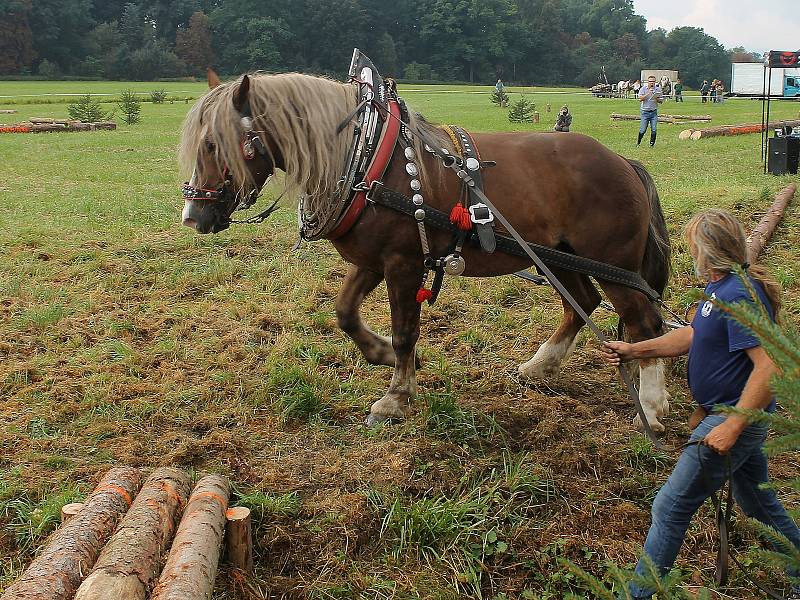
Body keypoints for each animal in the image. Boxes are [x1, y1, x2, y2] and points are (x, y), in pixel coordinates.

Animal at [178, 67, 672, 432]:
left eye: (214, 143)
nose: (193, 216)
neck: (367, 160)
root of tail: (623, 161)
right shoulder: (372, 261)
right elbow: (344, 312)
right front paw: (380, 354)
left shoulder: (403, 262)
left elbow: (405, 330)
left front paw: (396, 396)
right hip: (559, 257)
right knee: (582, 304)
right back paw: (538, 367)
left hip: (612, 264)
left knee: (643, 322)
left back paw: (651, 407)